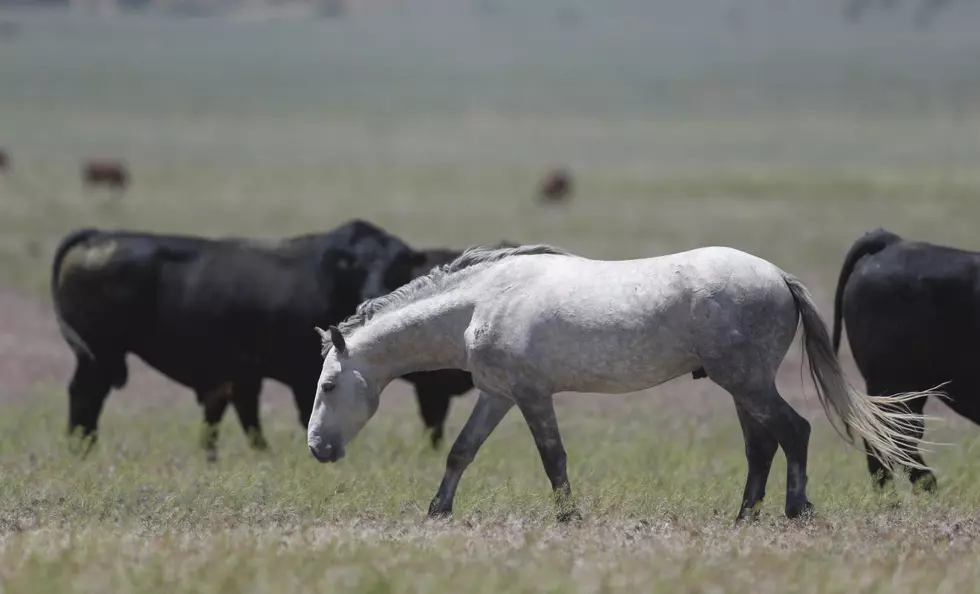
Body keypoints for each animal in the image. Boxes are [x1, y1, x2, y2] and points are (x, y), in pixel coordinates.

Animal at [51, 219, 480, 458]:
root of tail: (97, 236)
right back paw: (81, 447)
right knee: (85, 395)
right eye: (355, 264)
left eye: (397, 264)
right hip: (100, 355)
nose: (373, 292)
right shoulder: (301, 375)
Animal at [306, 243, 936, 520]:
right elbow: (461, 451)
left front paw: (567, 517)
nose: (317, 449)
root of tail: (778, 276)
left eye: (329, 386)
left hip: (747, 382)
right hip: (741, 387)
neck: (480, 302)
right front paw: (438, 511)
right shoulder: (497, 395)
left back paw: (794, 509)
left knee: (794, 432)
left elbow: (553, 458)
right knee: (762, 445)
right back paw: (744, 515)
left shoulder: (532, 396)